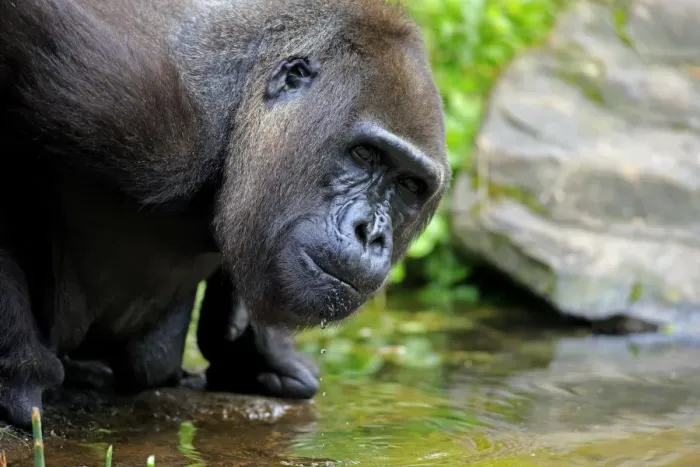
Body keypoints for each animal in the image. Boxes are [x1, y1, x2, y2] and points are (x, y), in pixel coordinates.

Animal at [0, 0, 449, 430]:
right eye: (364, 154)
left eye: (410, 186)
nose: (370, 234)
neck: (238, 106)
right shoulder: (130, 104)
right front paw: (21, 374)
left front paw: (255, 353)